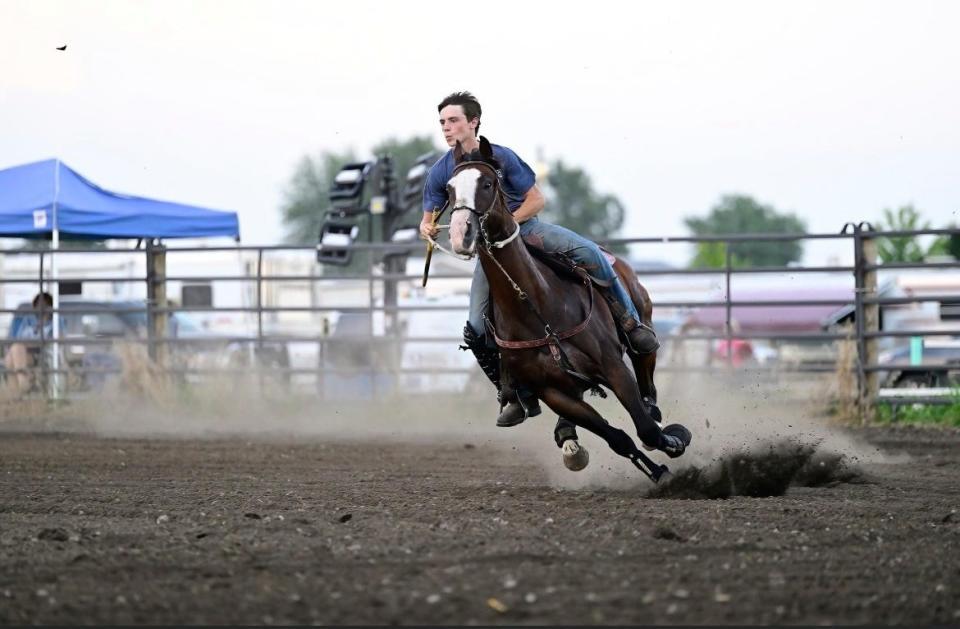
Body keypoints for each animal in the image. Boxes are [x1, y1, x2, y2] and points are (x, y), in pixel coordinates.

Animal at [446, 137, 688, 480]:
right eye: (449, 189)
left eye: (488, 183)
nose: (460, 234)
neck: (538, 307)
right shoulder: (553, 392)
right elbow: (619, 439)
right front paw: (656, 471)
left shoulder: (613, 367)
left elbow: (647, 430)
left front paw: (675, 440)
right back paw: (567, 437)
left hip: (643, 322)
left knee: (645, 366)